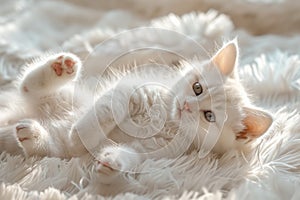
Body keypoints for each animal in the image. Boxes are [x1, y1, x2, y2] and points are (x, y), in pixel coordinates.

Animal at [0, 39, 272, 184]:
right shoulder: (127, 90)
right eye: (197, 88)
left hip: (56, 151)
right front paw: (81, 135)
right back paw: (60, 68)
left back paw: (31, 134)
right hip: (67, 97)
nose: (186, 106)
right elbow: (108, 110)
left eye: (209, 117)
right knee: (28, 85)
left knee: (44, 147)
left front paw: (111, 164)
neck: (166, 122)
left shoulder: (156, 151)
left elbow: (132, 156)